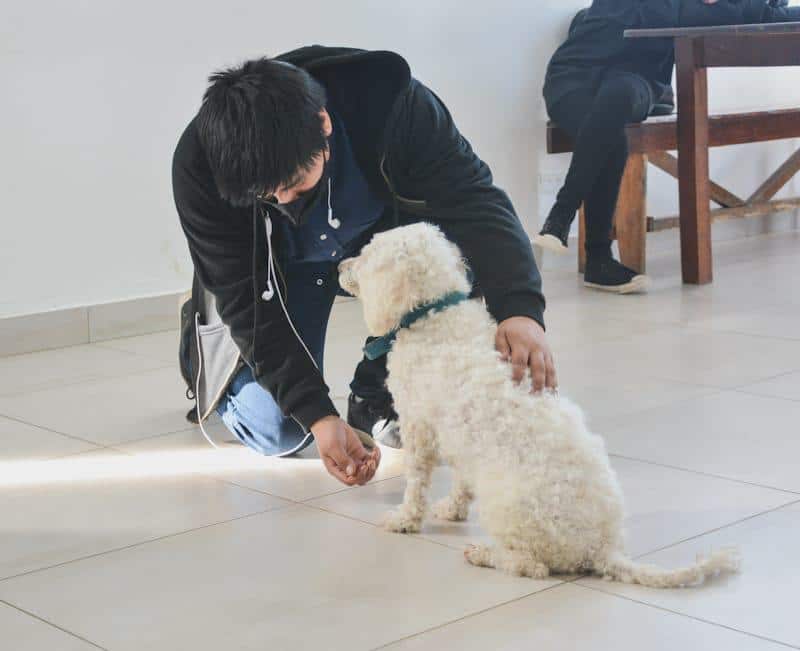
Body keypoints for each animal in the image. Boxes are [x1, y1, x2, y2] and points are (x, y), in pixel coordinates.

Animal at [338, 224, 736, 584]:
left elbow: (416, 483)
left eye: (367, 253)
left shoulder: (420, 427)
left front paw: (404, 519)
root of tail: (603, 550)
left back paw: (485, 554)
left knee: (531, 566)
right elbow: (463, 481)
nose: (339, 264)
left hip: (508, 511)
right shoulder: (460, 438)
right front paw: (452, 509)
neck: (435, 315)